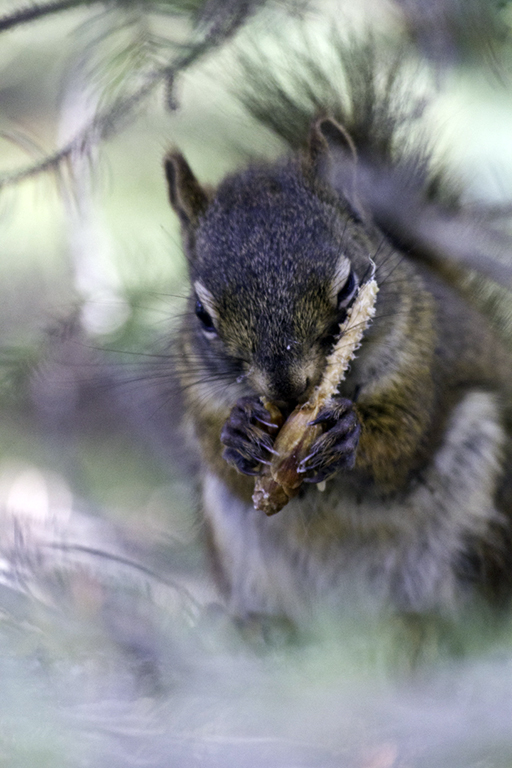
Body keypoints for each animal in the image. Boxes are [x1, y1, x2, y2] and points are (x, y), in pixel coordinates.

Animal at [162, 40, 512, 632]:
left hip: (478, 500)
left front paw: (348, 433)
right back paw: (263, 629)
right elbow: (220, 454)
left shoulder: (421, 363)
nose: (287, 390)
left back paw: (425, 629)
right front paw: (239, 432)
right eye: (202, 315)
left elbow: (403, 443)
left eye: (349, 287)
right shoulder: (199, 393)